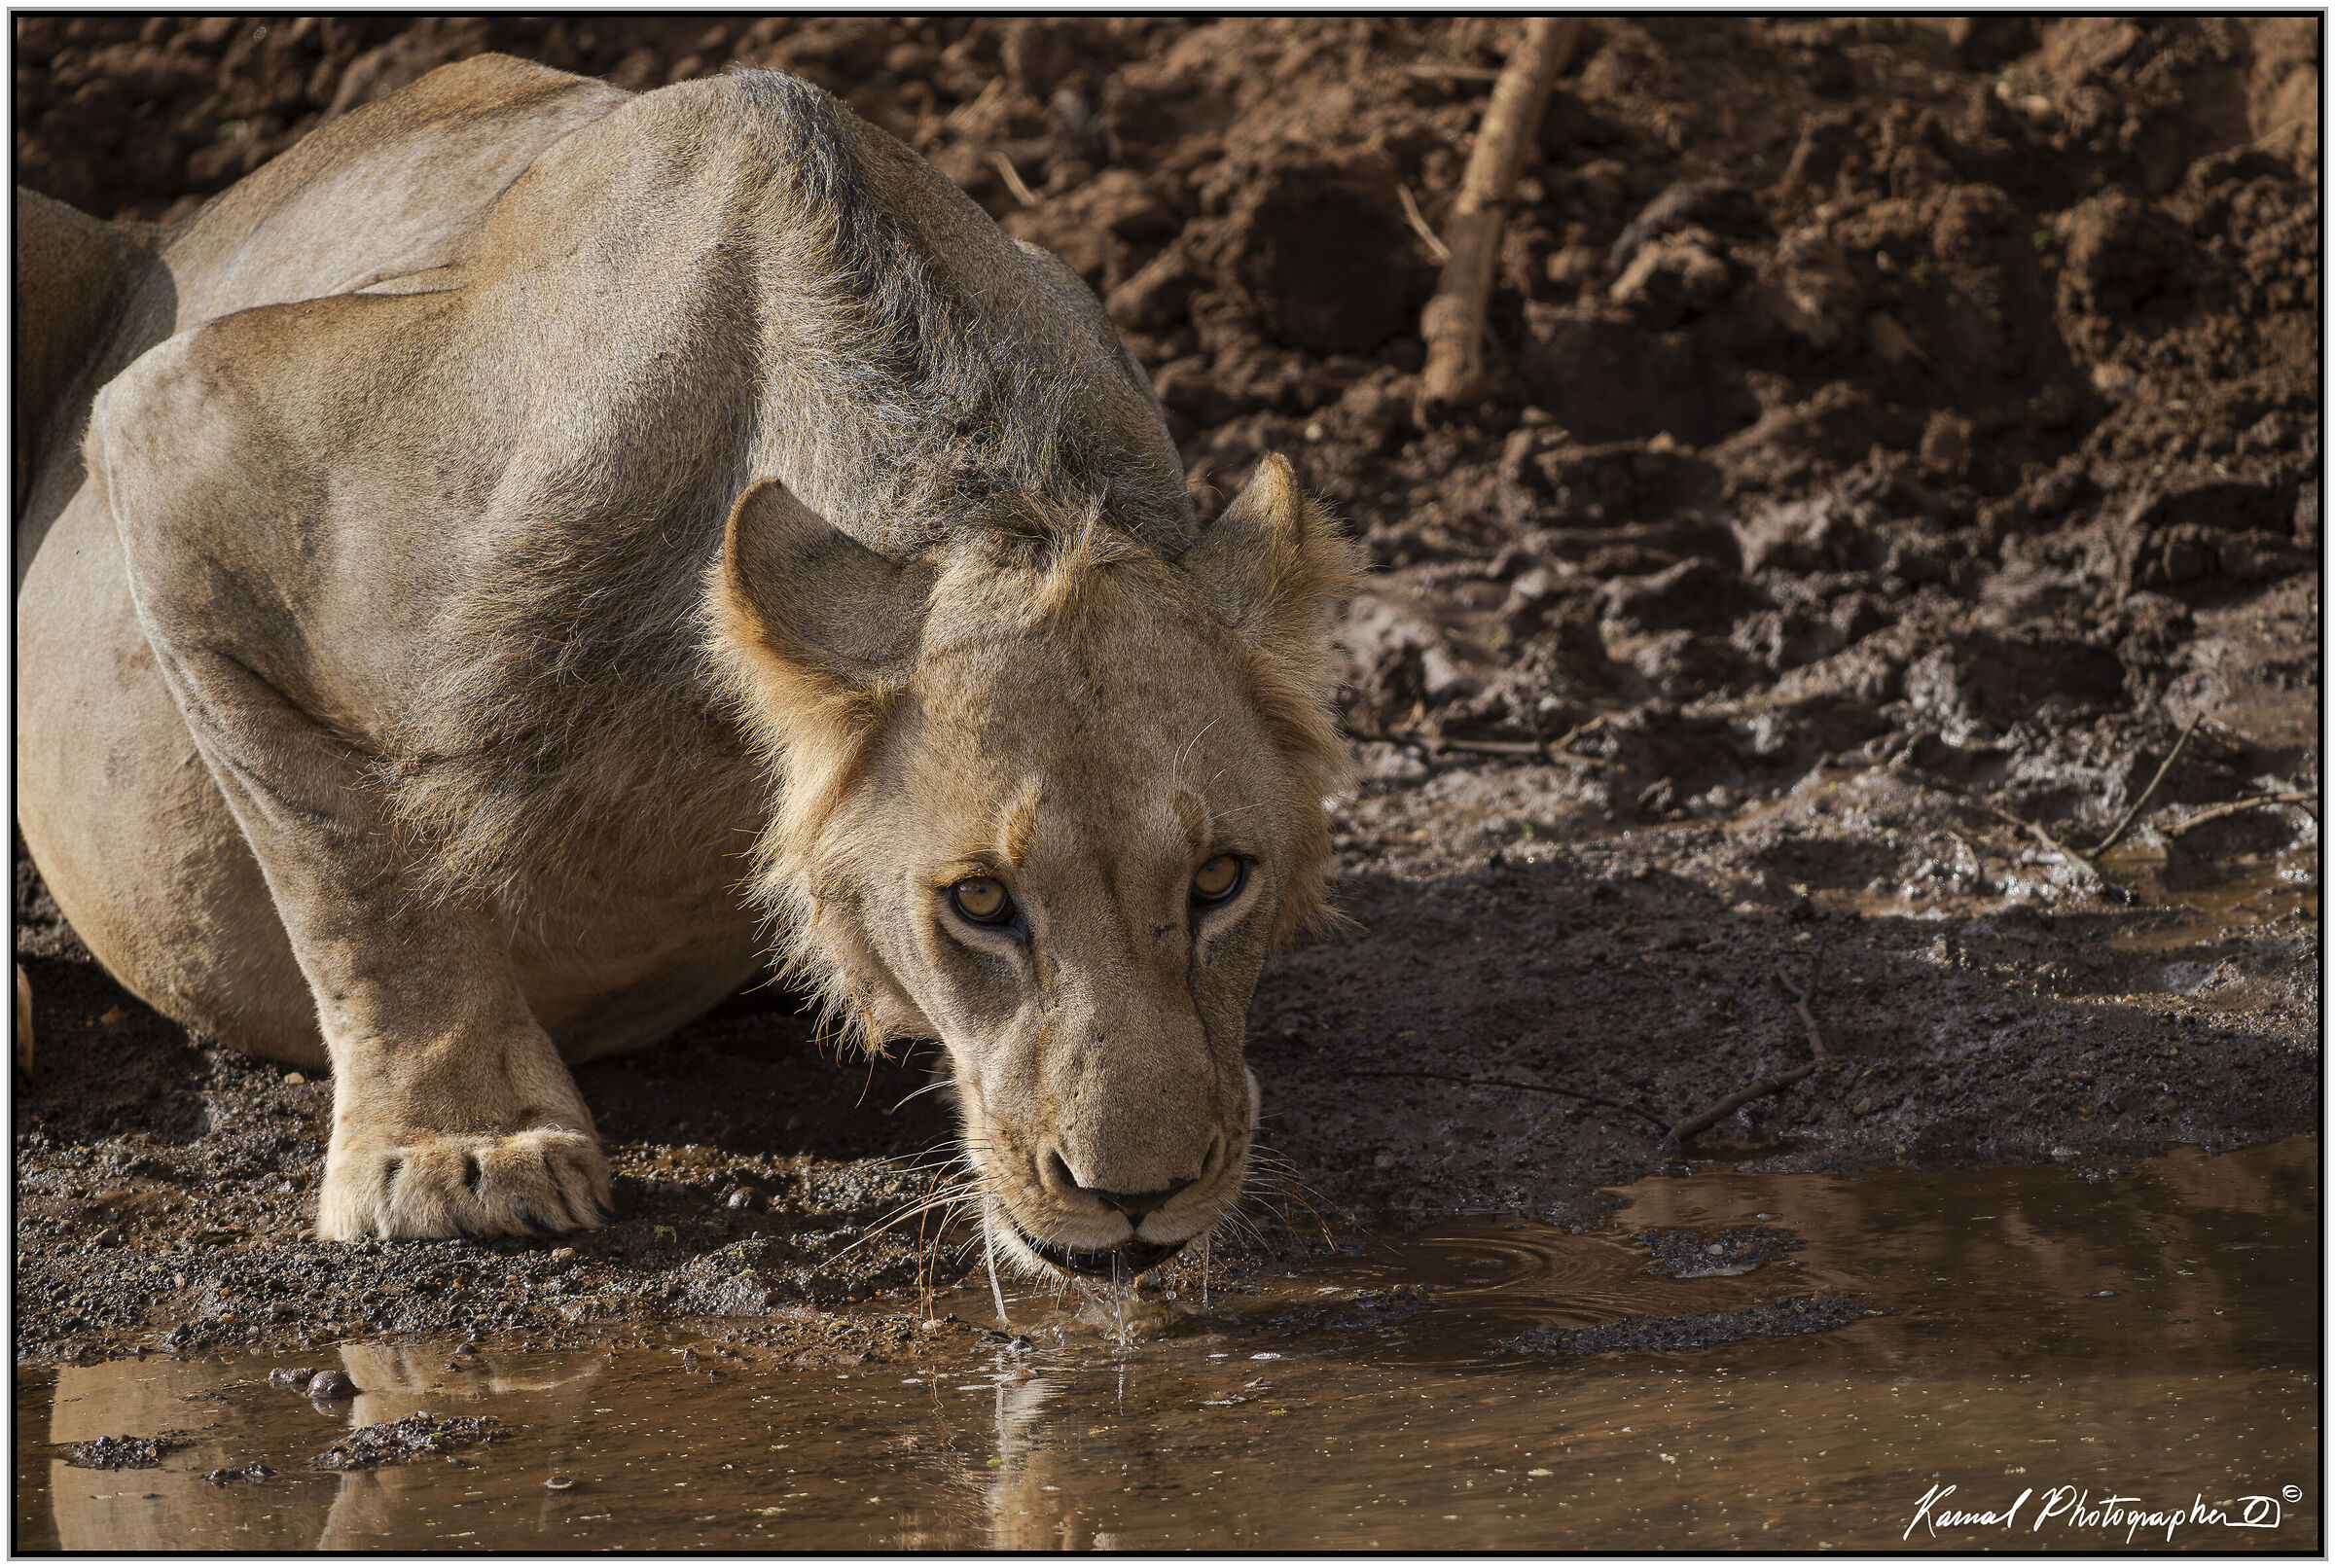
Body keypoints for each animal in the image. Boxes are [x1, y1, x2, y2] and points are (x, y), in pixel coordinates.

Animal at [14, 56, 1360, 1282]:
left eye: (1222, 881)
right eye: (978, 901)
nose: (1138, 1199)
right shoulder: (186, 426)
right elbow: (354, 862)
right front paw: (459, 1156)